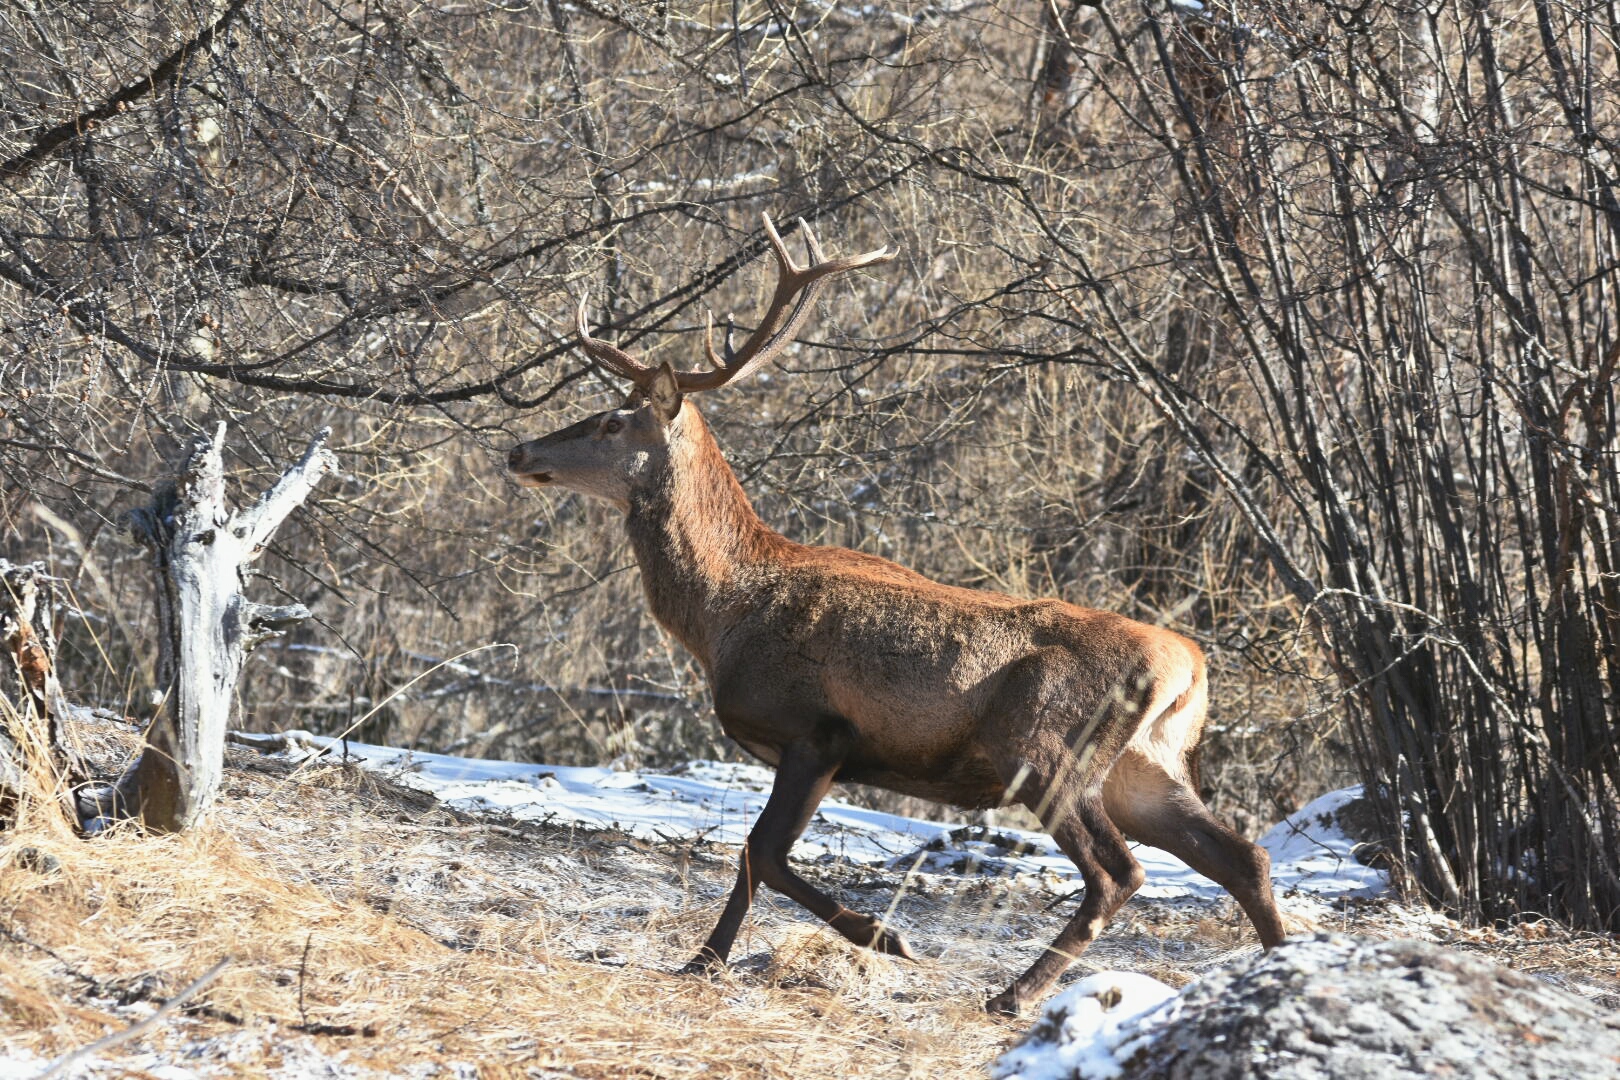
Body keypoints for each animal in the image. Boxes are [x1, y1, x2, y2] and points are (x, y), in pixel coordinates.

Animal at [506, 214, 1286, 1016]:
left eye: (610, 421)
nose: (519, 449)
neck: (724, 615)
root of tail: (1188, 664)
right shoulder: (823, 747)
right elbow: (756, 857)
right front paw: (708, 959)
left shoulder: (816, 729)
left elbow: (763, 852)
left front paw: (876, 938)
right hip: (1146, 768)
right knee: (1244, 856)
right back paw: (1284, 965)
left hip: (1044, 746)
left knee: (1119, 871)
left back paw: (1013, 994)